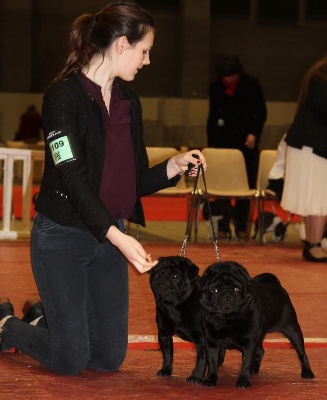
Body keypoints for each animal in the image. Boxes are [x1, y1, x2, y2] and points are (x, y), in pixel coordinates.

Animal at [197, 260, 316, 390]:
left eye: (237, 289)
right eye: (215, 290)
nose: (227, 293)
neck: (227, 319)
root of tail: (276, 285)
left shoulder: (249, 343)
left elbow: (246, 364)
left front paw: (244, 381)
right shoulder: (212, 343)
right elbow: (212, 363)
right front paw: (211, 379)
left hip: (292, 330)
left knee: (302, 353)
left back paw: (307, 372)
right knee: (260, 351)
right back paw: (254, 369)